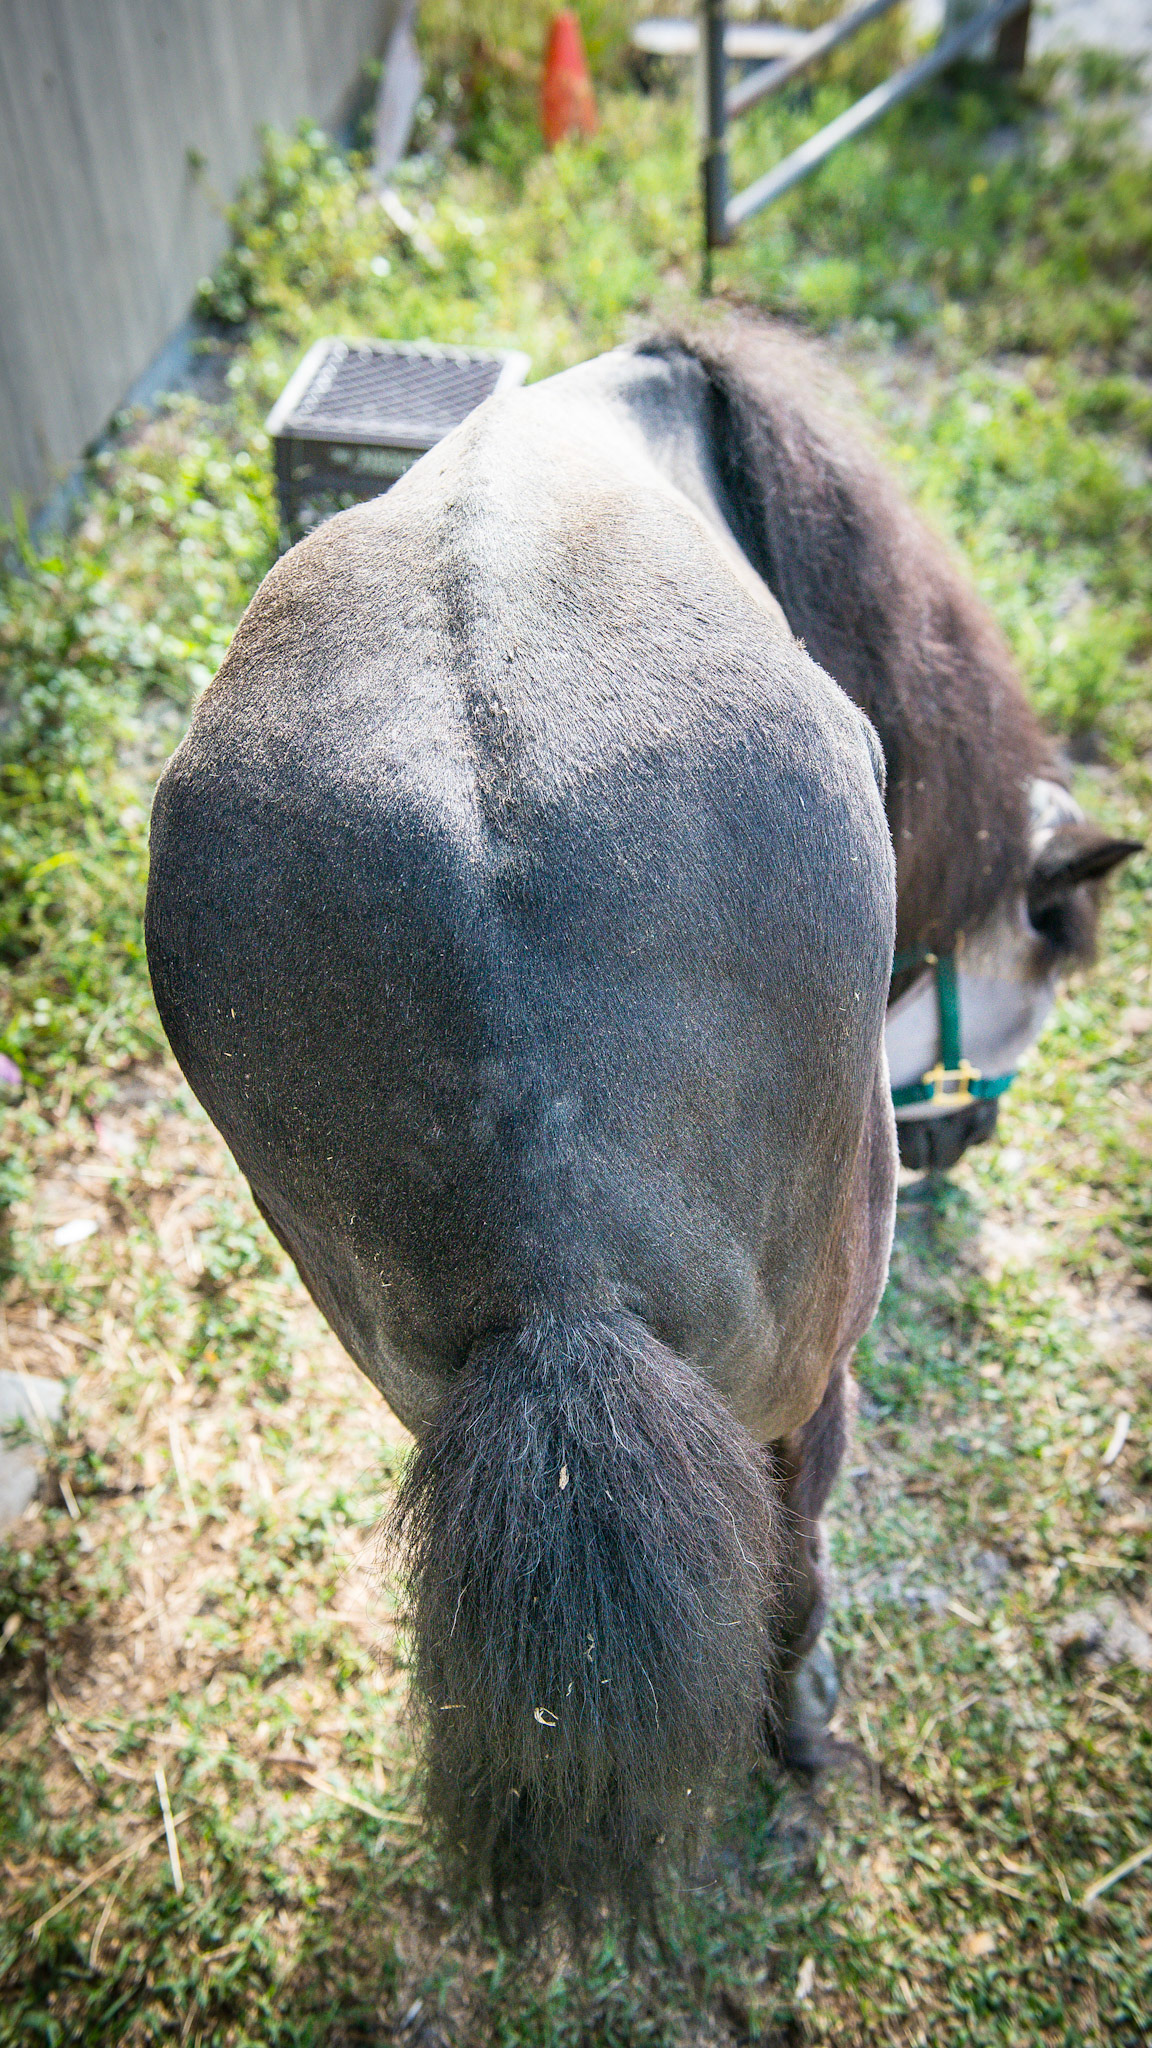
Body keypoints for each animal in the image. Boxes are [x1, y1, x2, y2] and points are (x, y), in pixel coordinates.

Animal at [145, 325, 1136, 1922]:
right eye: (1040, 990)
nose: (959, 1154)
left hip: (402, 1360)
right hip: (799, 1360)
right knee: (792, 1530)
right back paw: (798, 1715)